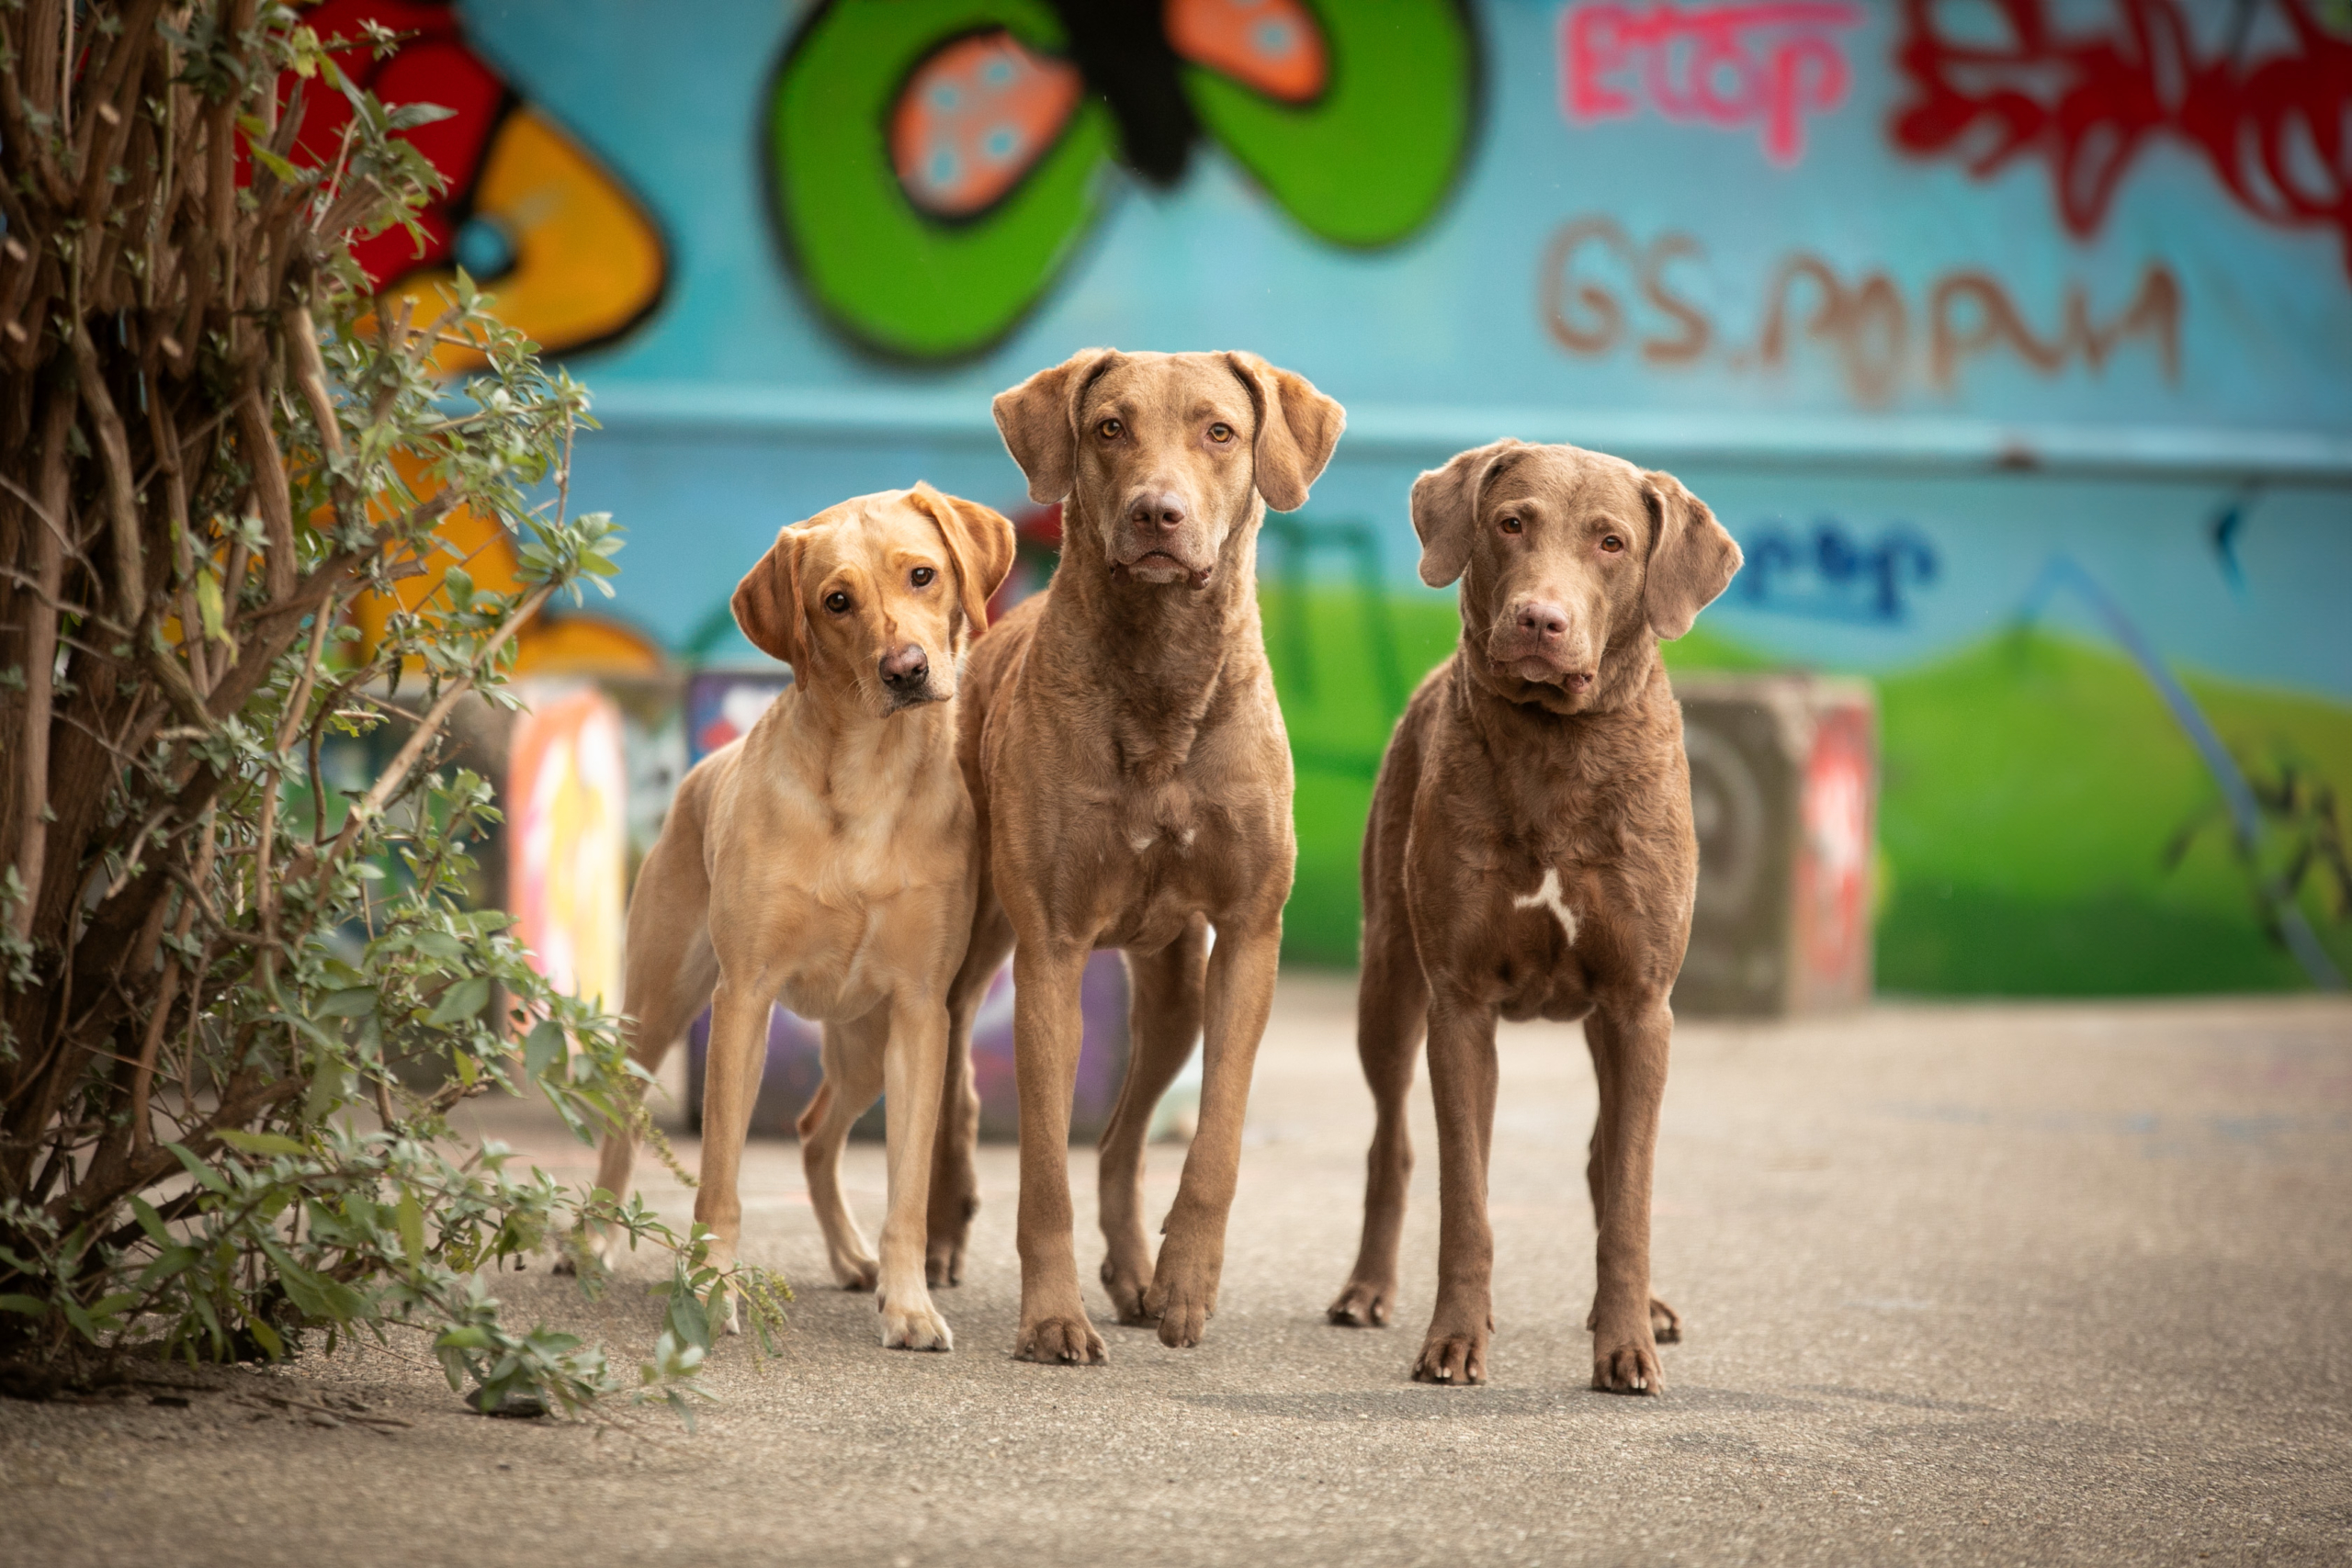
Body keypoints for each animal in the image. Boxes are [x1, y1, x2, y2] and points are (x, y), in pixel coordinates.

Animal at [588, 481, 1011, 1354]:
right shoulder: (743, 1001)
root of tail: (701, 769)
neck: (868, 776)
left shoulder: (922, 1013)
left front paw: (909, 1303)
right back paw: (595, 1238)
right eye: (835, 601)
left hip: (865, 1045)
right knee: (624, 1115)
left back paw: (853, 1259)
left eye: (923, 574)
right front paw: (711, 1290)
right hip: (659, 1006)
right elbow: (719, 1180)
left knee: (818, 1132)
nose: (906, 670)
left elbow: (909, 1192)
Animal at [926, 350, 1354, 1363]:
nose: (1157, 513)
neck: (1161, 671)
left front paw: (1185, 1283)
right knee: (958, 1074)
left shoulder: (1248, 935)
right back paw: (943, 1226)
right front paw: (1052, 1318)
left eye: (1220, 431)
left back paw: (1134, 1273)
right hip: (972, 938)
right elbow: (1043, 1165)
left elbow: (1218, 1136)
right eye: (1108, 428)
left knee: (1122, 1137)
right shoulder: (1050, 948)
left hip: (1173, 986)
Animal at [1336, 434, 1740, 1392]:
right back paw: (1367, 1289)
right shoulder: (1459, 999)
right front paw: (1453, 1339)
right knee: (1395, 1142)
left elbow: (1630, 1191)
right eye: (1511, 523)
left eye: (1613, 542)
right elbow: (1465, 1195)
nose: (1539, 622)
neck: (1558, 747)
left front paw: (1625, 1344)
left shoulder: (1640, 1002)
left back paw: (1645, 1309)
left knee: (1607, 1156)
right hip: (1389, 979)